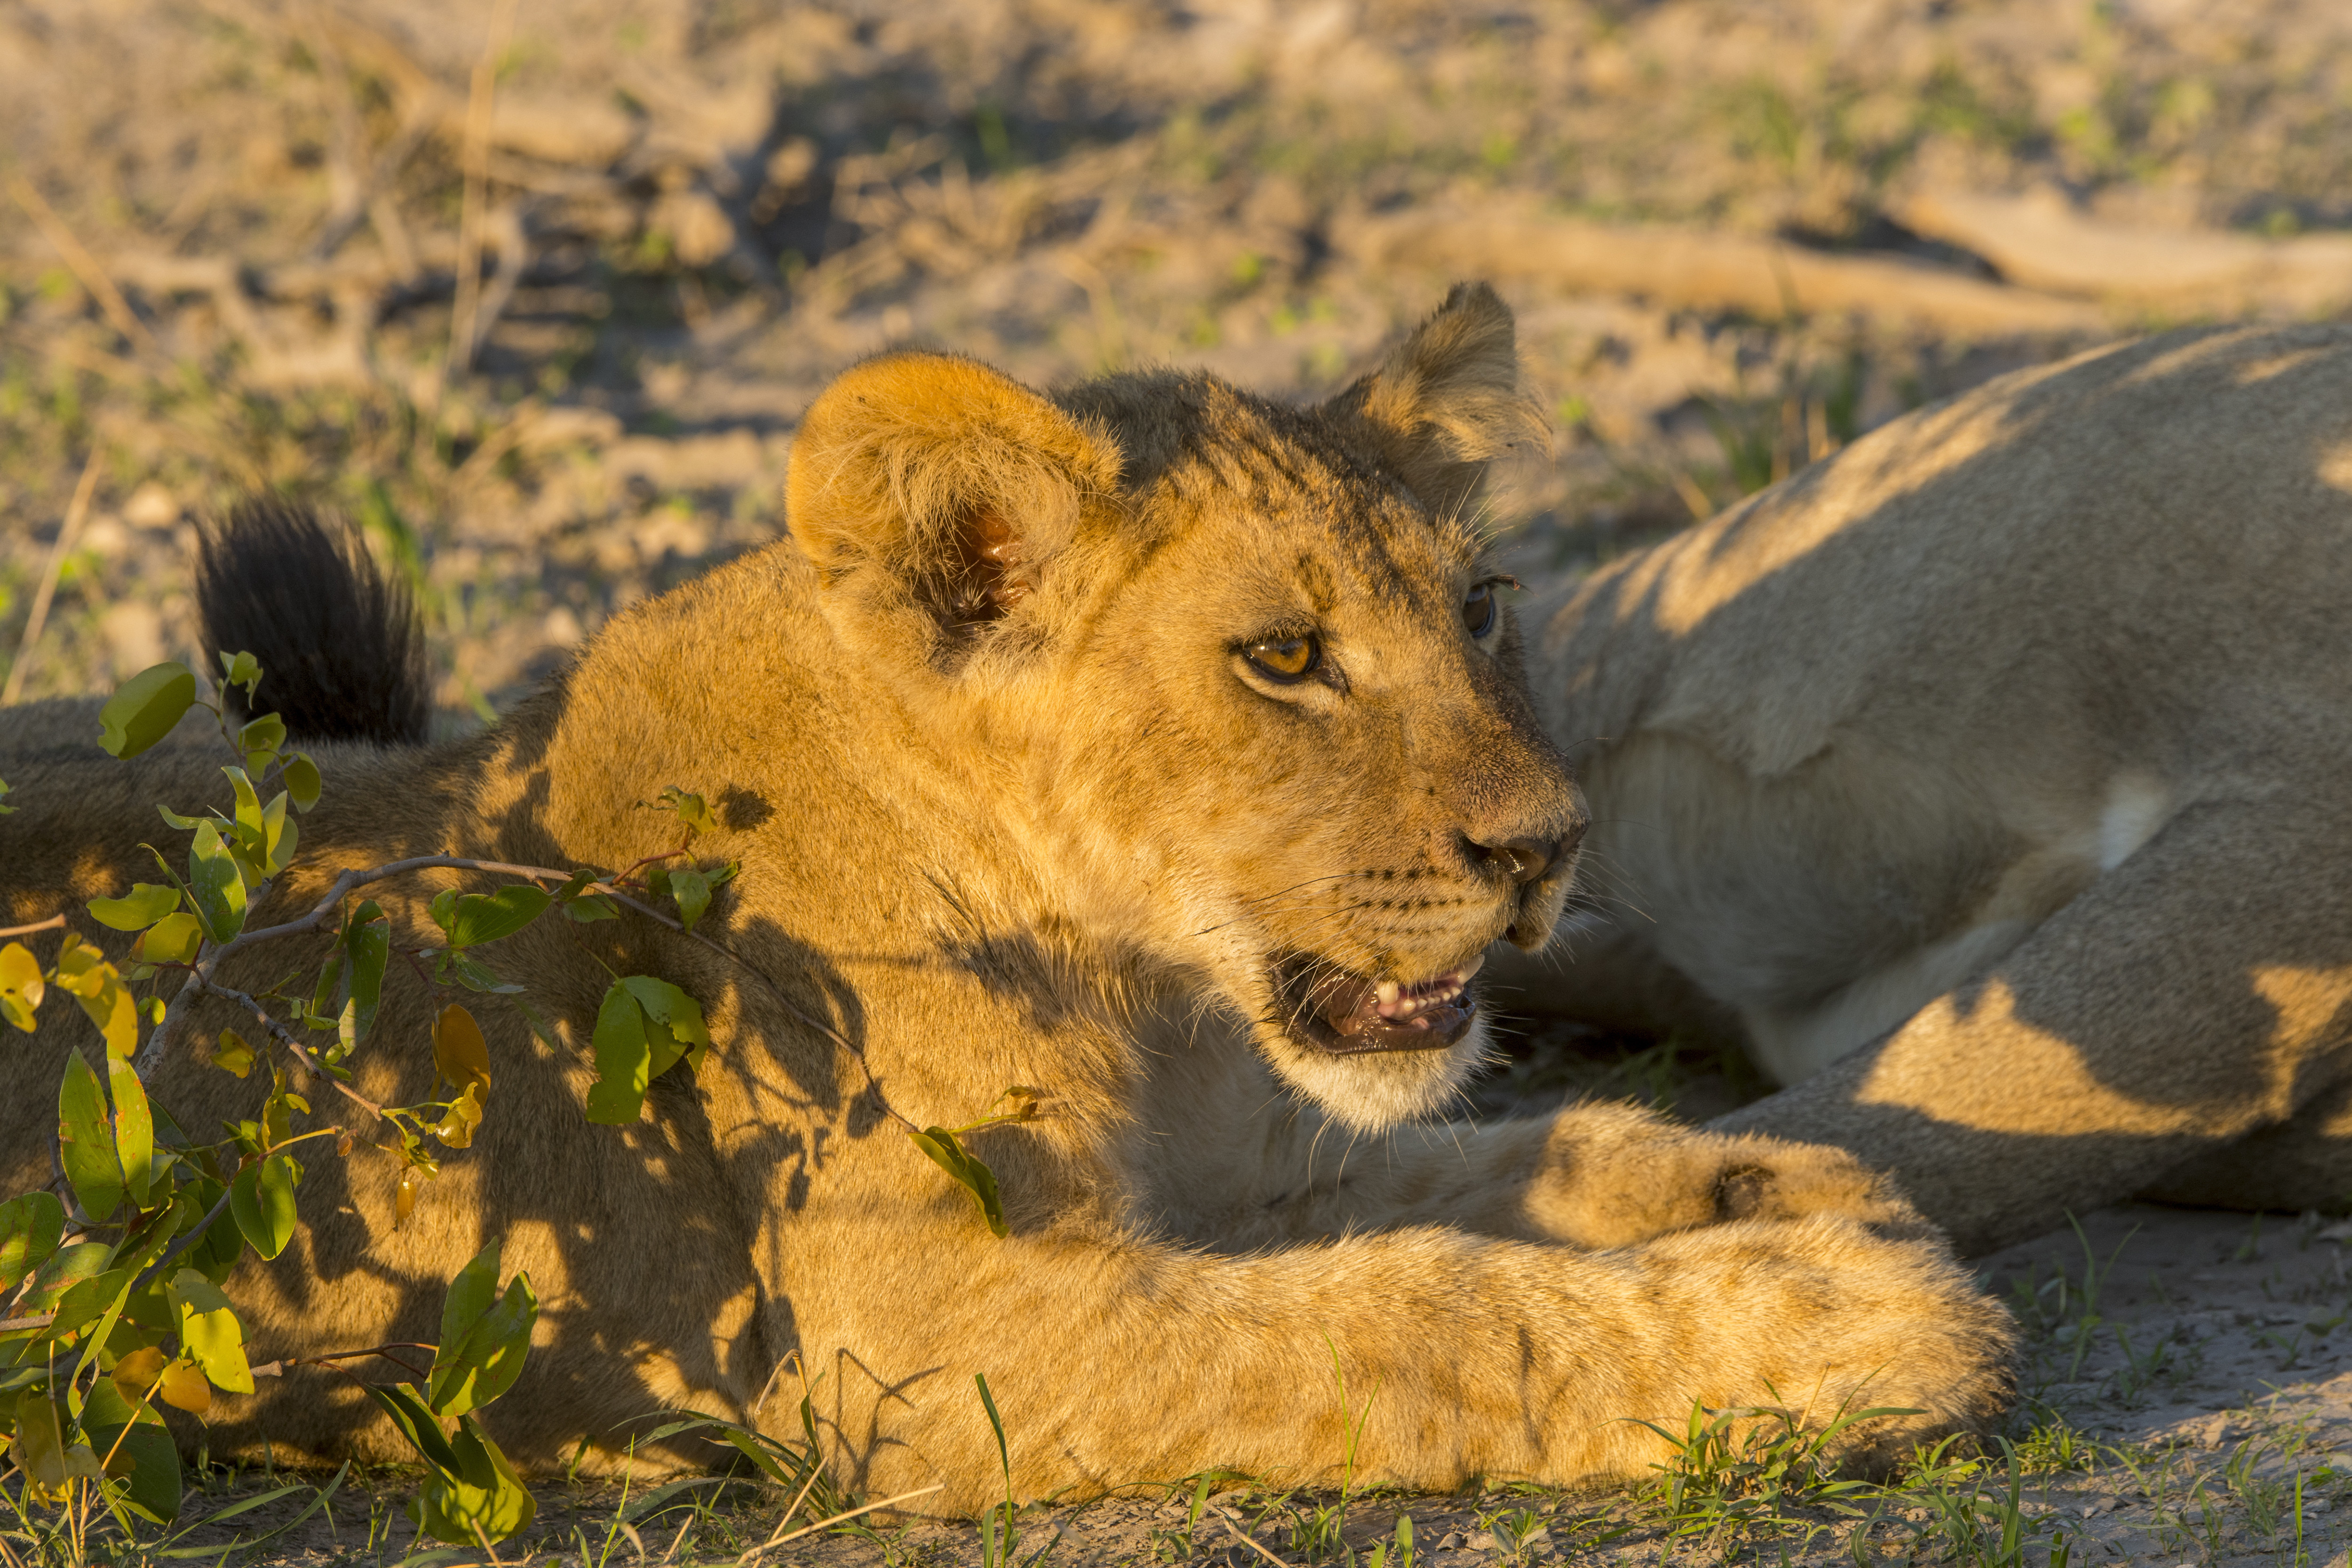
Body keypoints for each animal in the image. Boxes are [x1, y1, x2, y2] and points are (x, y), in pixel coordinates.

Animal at [0, 286, 2011, 1510]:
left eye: (1482, 606)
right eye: (1285, 658)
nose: (1548, 848)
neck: (1151, 988)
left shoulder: (1216, 1173)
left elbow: (1497, 1172)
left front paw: (1773, 1188)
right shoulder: (932, 1345)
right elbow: (1424, 1315)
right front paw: (1841, 1326)